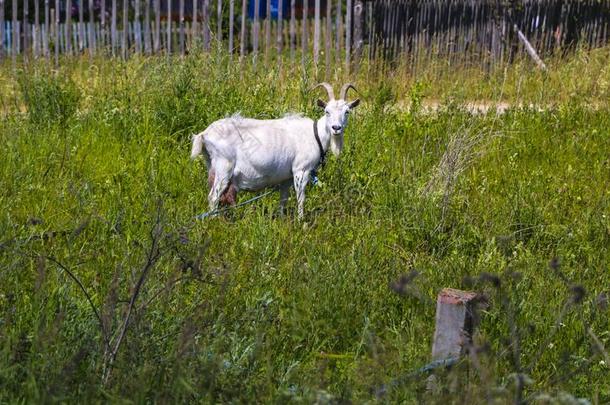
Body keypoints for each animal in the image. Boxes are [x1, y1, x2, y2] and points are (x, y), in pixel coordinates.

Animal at [190, 81, 358, 218]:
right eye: (327, 111)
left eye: (347, 112)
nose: (336, 128)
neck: (315, 134)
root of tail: (204, 134)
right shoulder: (301, 170)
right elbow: (301, 198)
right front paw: (301, 222)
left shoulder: (286, 177)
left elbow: (283, 199)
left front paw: (282, 220)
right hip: (224, 166)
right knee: (213, 197)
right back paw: (215, 221)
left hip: (212, 166)